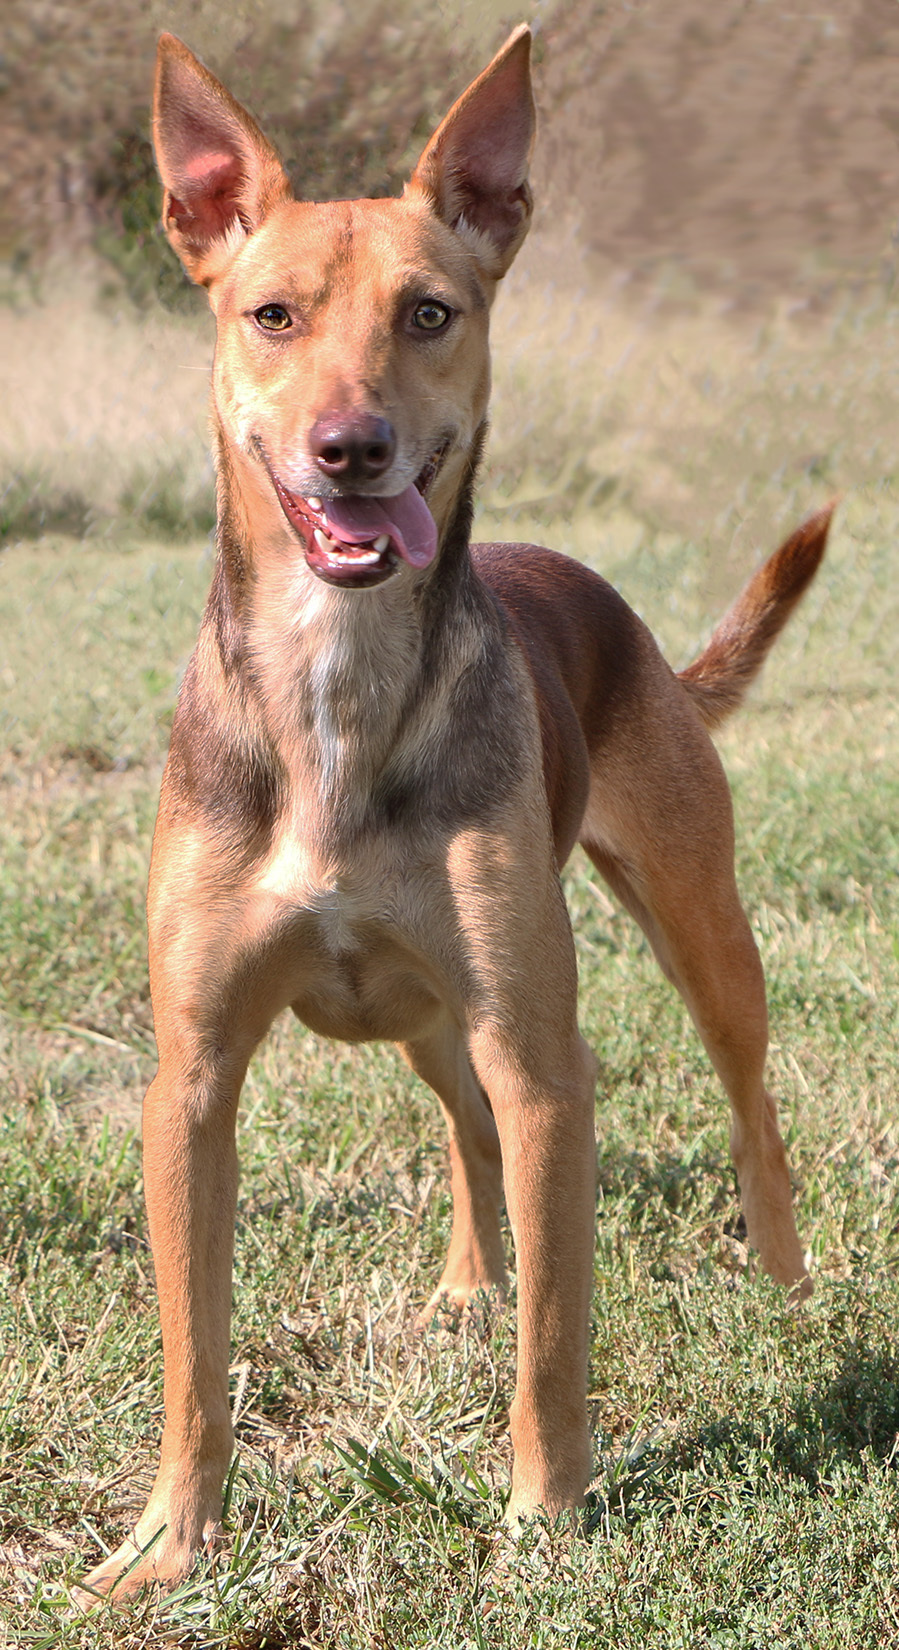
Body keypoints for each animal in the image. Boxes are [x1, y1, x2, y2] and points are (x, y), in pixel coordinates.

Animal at [80, 22, 831, 1597]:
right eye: (272, 315)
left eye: (429, 313)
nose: (350, 446)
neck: (338, 682)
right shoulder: (189, 1081)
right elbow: (192, 1351)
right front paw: (173, 1540)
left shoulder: (545, 1065)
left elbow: (556, 1343)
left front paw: (544, 1518)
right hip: (430, 1016)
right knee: (461, 1139)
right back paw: (465, 1282)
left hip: (694, 925)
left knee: (746, 1103)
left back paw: (783, 1278)